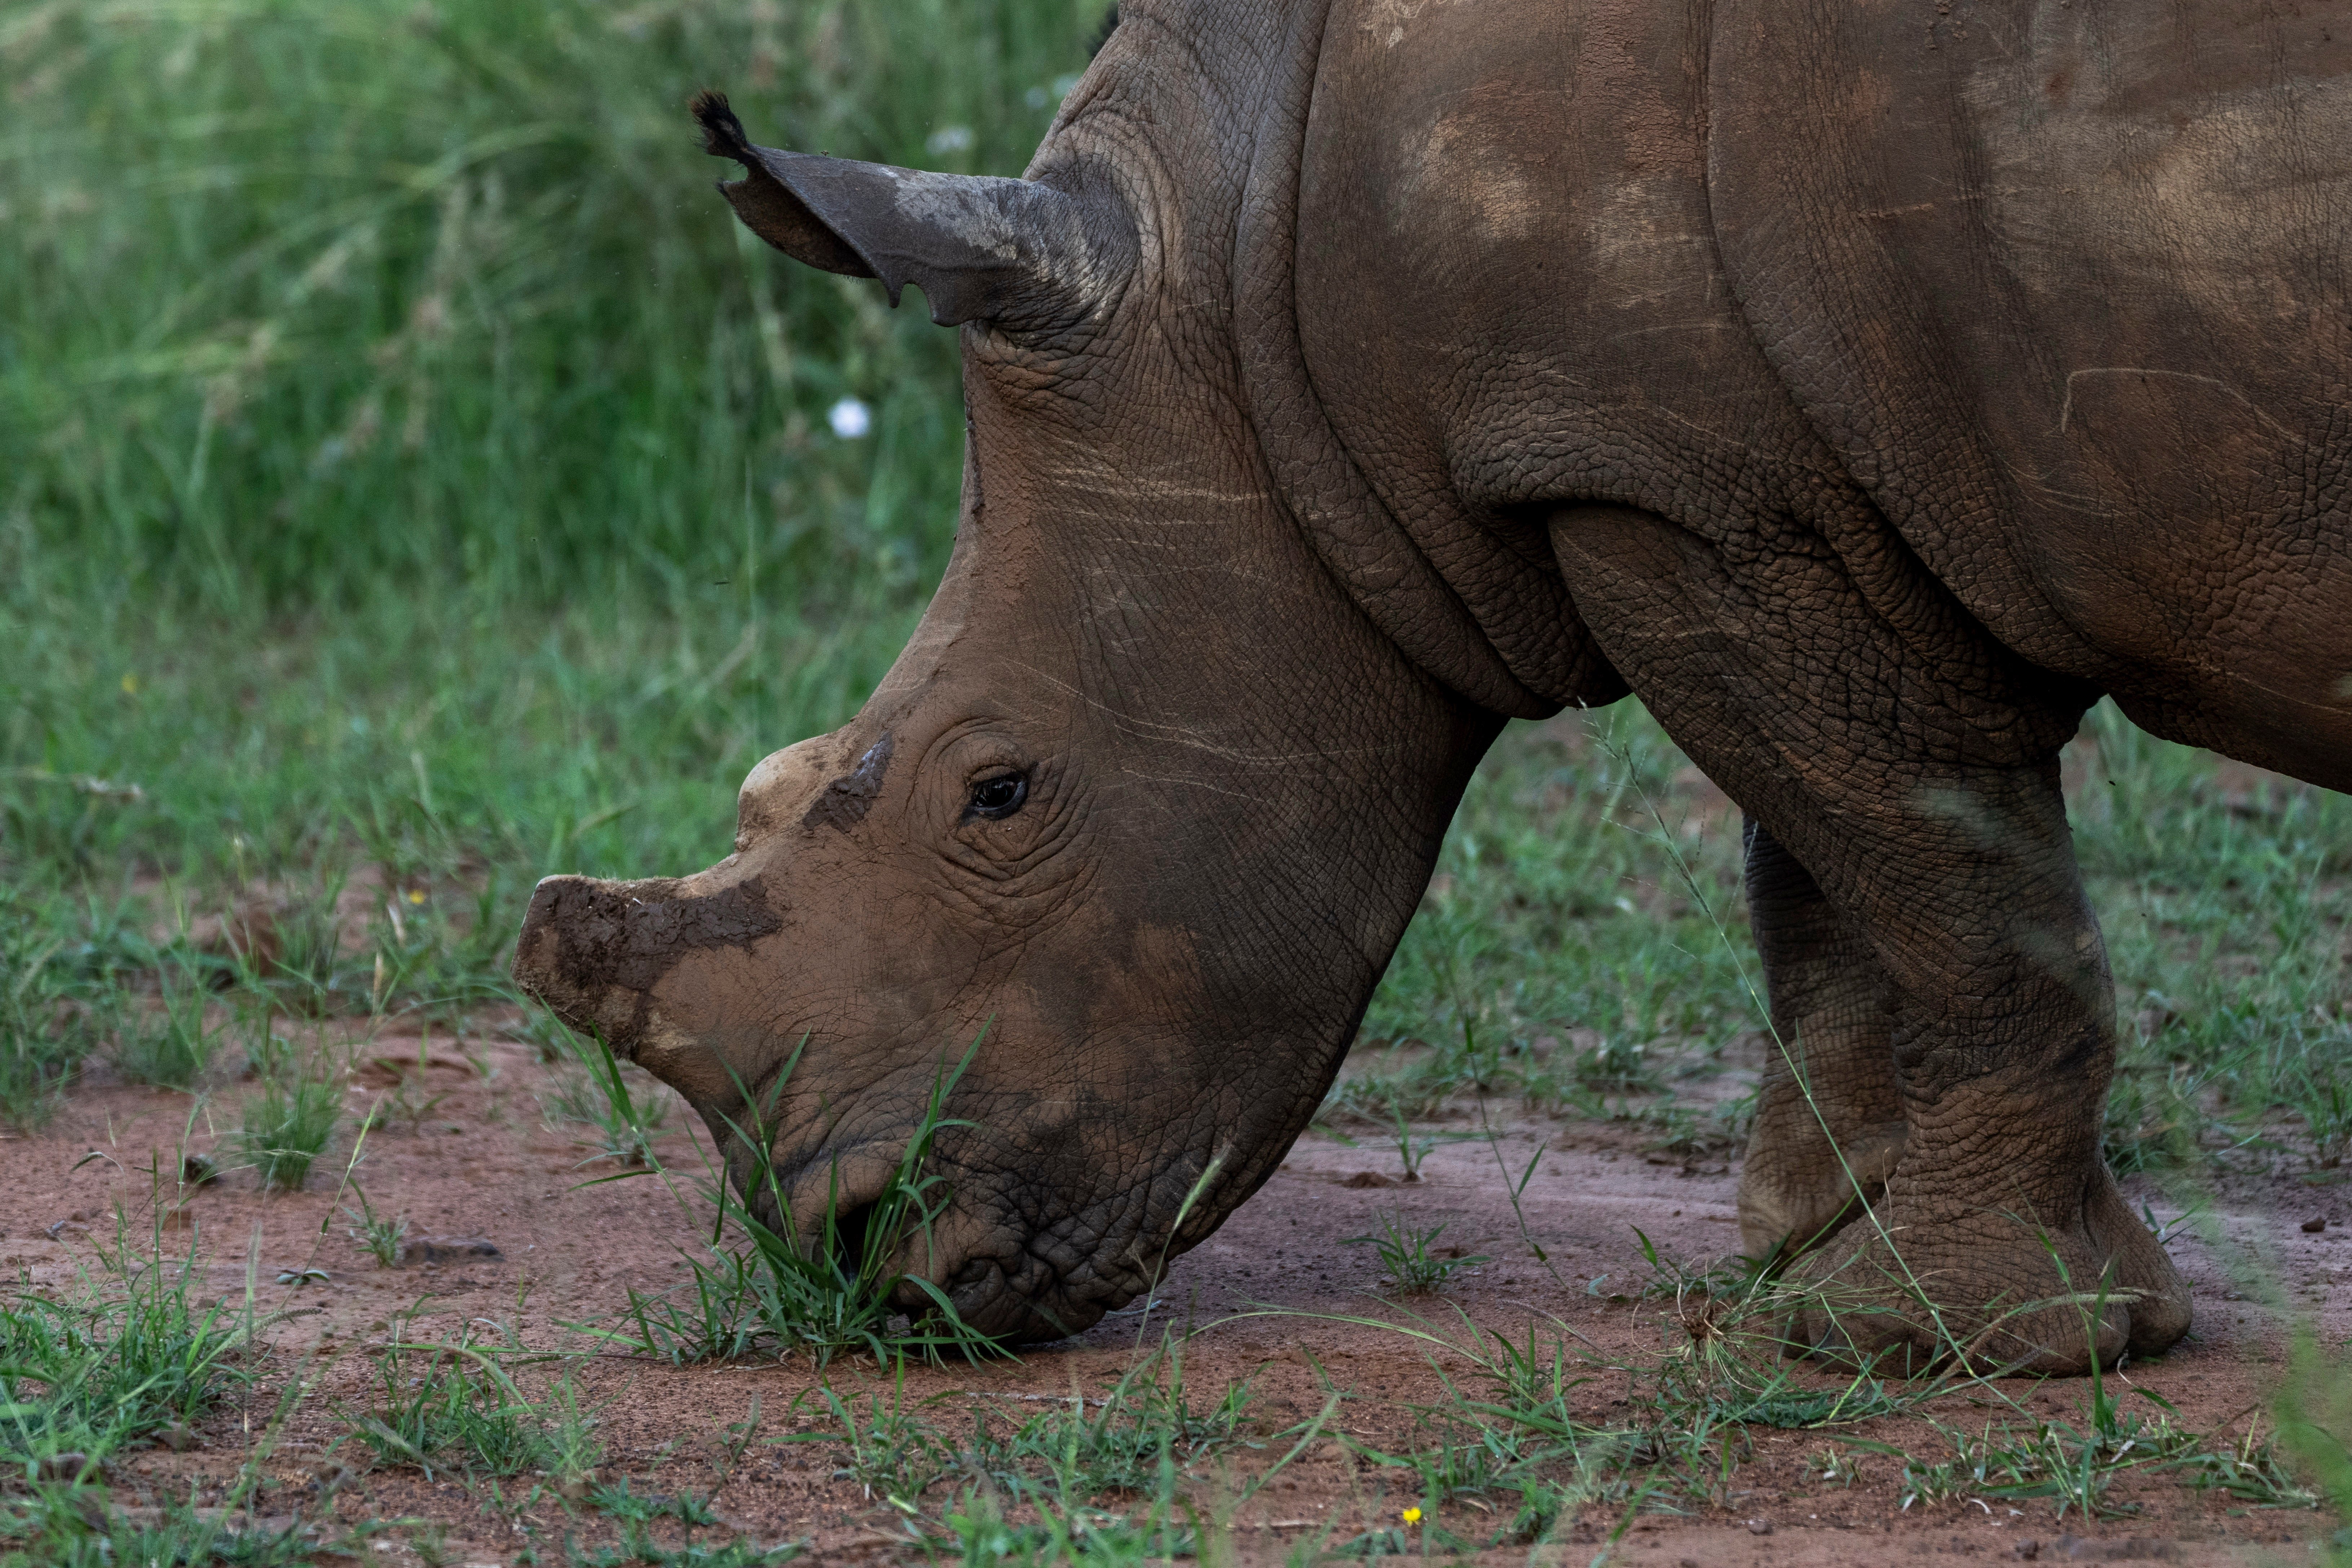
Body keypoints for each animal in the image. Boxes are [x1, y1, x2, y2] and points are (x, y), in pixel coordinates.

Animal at [513, 0, 2352, 1373]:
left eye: (1000, 792)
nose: (846, 1260)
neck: (1241, 278)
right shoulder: (1738, 481)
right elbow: (1830, 866)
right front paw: (1809, 1257)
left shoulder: (1668, 476)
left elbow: (1946, 883)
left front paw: (1951, 1340)